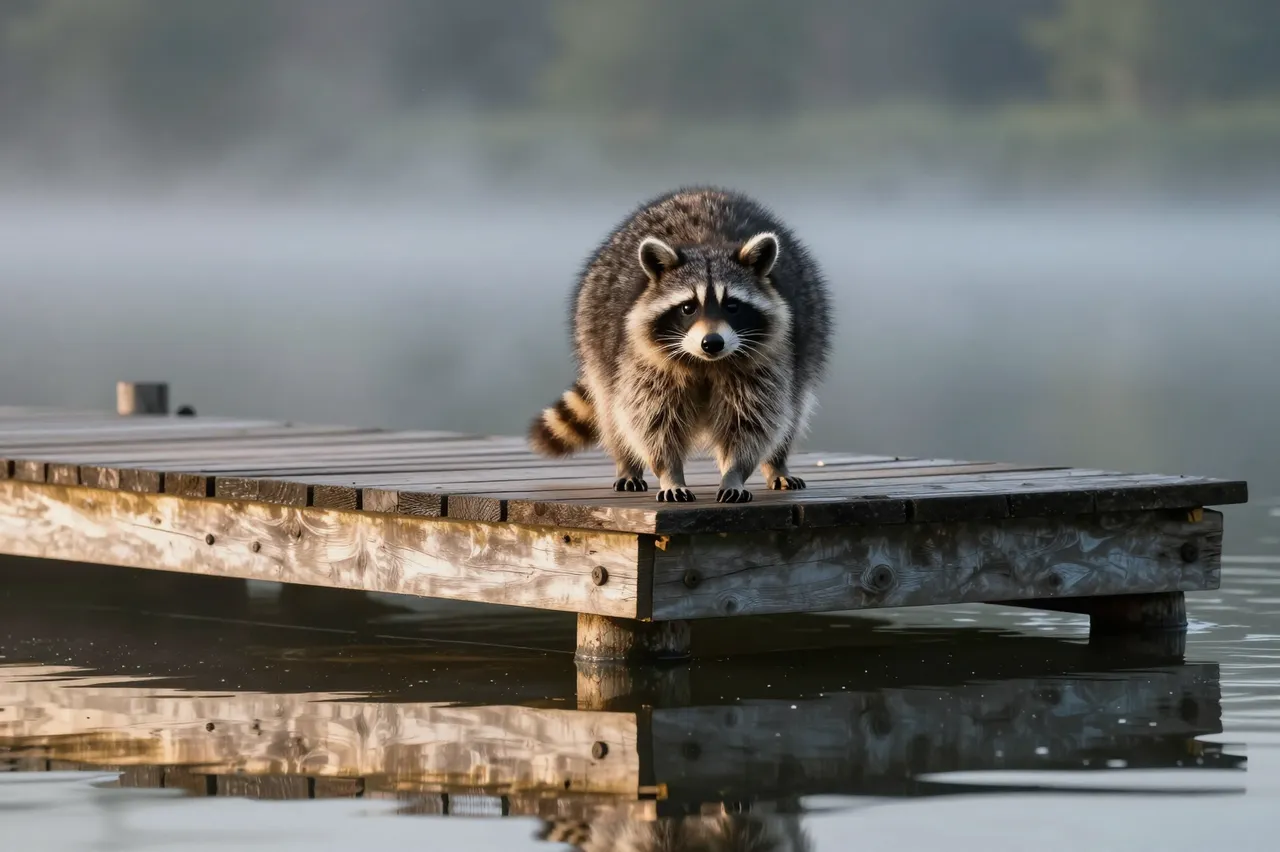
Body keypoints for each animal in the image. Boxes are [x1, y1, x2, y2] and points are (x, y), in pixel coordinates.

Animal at [528, 187, 831, 503]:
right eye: (688, 307)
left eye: (732, 306)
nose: (712, 343)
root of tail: (701, 192)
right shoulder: (644, 365)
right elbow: (653, 422)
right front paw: (670, 473)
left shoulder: (765, 364)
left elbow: (750, 422)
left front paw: (734, 473)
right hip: (594, 334)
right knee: (613, 412)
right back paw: (627, 464)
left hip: (807, 337)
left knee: (792, 410)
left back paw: (777, 463)